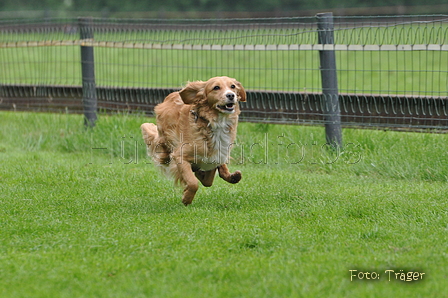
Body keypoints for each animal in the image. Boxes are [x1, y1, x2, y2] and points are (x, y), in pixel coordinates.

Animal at [141, 76, 247, 205]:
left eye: (233, 86)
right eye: (216, 87)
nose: (231, 95)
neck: (213, 122)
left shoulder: (216, 155)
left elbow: (208, 179)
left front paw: (201, 174)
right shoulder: (180, 156)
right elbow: (193, 182)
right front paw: (187, 198)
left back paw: (232, 176)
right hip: (165, 143)